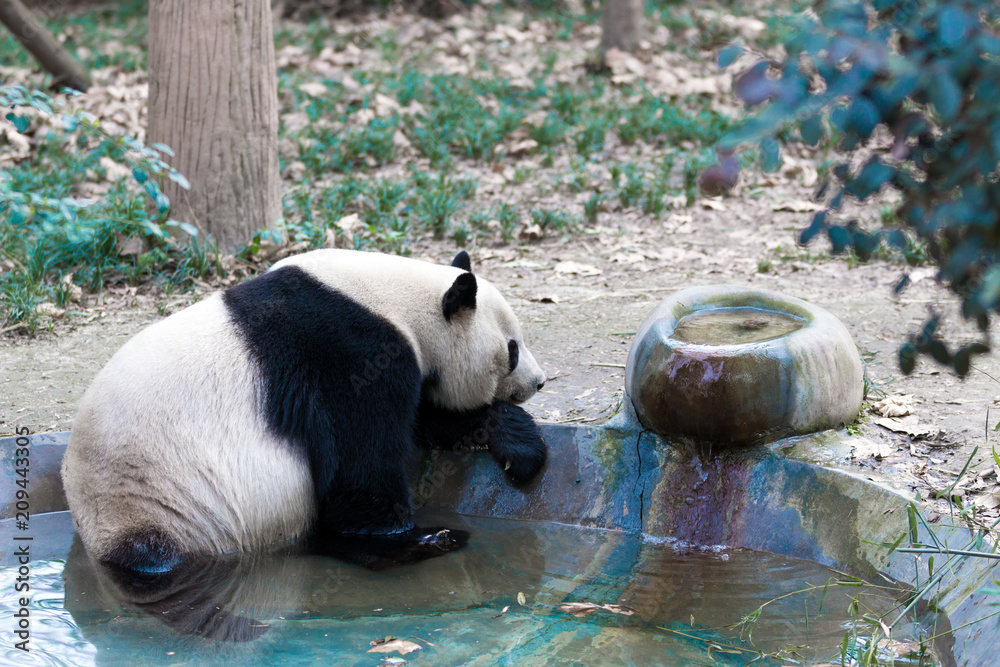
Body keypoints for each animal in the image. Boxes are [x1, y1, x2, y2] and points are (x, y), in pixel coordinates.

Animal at [62, 249, 548, 576]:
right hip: (161, 504)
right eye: (512, 349)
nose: (539, 382)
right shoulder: (352, 354)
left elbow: (423, 419)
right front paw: (406, 538)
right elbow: (359, 468)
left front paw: (519, 444)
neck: (397, 299)